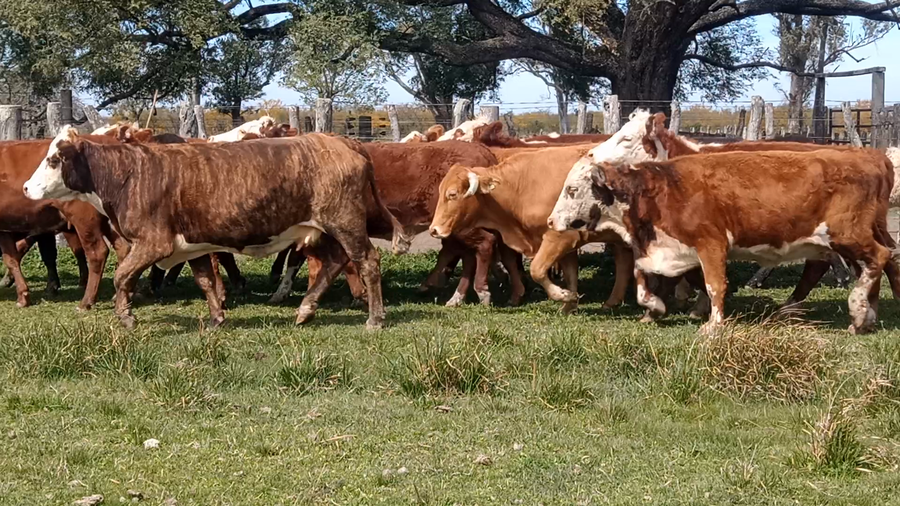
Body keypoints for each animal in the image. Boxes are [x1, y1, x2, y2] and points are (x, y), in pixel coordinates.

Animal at [24, 127, 388, 330]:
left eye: (54, 160)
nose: (27, 187)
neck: (128, 175)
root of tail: (341, 141)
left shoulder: (153, 243)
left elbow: (122, 275)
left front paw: (125, 317)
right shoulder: (192, 246)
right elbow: (205, 281)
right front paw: (216, 318)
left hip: (344, 223)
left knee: (367, 261)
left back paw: (374, 319)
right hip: (319, 230)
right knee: (335, 262)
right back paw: (306, 309)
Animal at [429, 144, 633, 312]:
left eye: (452, 194)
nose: (434, 229)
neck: (521, 187)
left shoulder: (560, 237)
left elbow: (537, 270)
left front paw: (561, 295)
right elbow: (570, 275)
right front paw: (569, 303)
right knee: (623, 262)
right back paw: (611, 302)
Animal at [549, 146, 897, 334]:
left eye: (572, 189)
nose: (552, 221)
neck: (663, 191)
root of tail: (869, 155)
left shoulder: (711, 243)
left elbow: (715, 284)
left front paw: (714, 324)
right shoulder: (664, 249)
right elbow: (642, 278)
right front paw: (654, 308)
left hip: (847, 234)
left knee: (879, 258)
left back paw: (859, 312)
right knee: (871, 263)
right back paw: (867, 314)